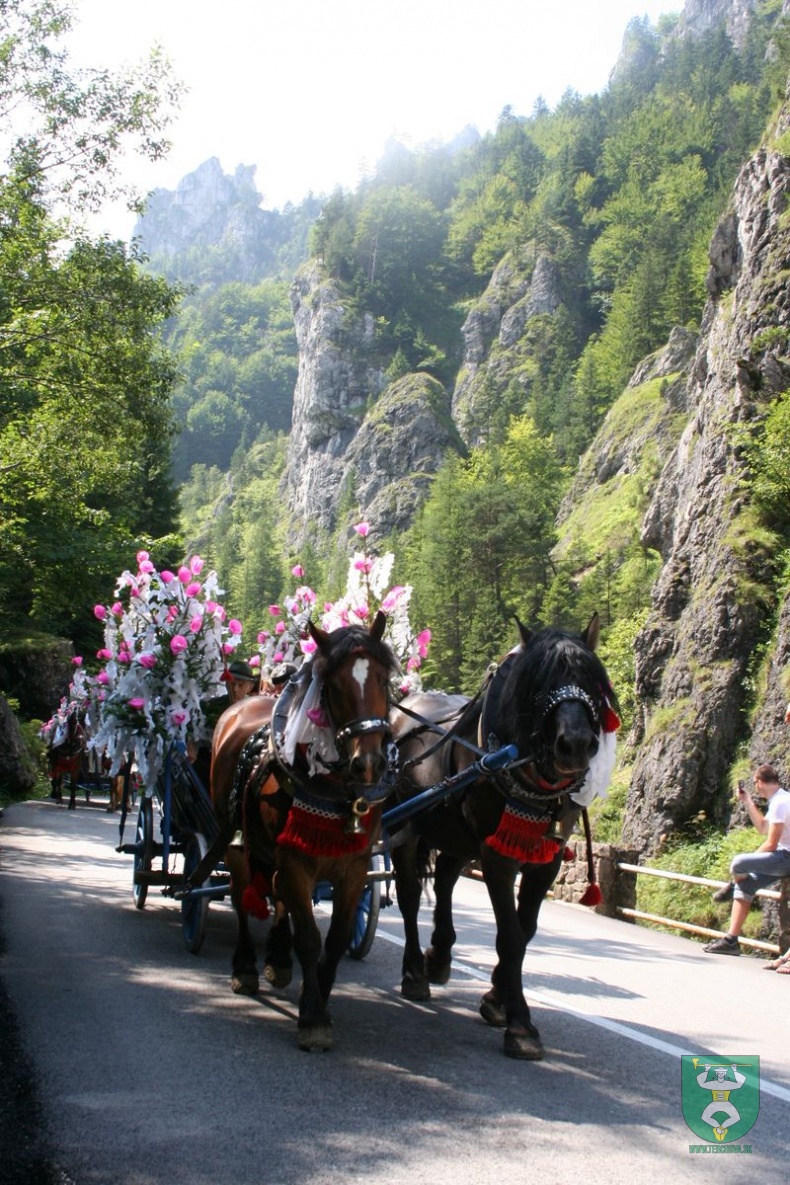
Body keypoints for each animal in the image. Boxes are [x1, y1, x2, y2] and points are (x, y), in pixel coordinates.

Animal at [212, 616, 397, 1052]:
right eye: (333, 686)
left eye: (383, 680)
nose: (369, 763)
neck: (337, 793)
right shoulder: (296, 859)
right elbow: (310, 939)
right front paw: (312, 1016)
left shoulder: (355, 867)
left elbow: (336, 939)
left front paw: (317, 1000)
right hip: (236, 844)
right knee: (243, 896)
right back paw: (245, 967)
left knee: (275, 893)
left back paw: (278, 960)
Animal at [386, 616, 620, 1061]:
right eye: (540, 682)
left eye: (592, 679)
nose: (576, 744)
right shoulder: (498, 858)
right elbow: (509, 935)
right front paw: (521, 1023)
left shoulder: (547, 858)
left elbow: (525, 931)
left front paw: (496, 998)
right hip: (402, 828)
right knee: (408, 895)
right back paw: (413, 971)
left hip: (456, 835)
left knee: (445, 880)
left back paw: (440, 954)